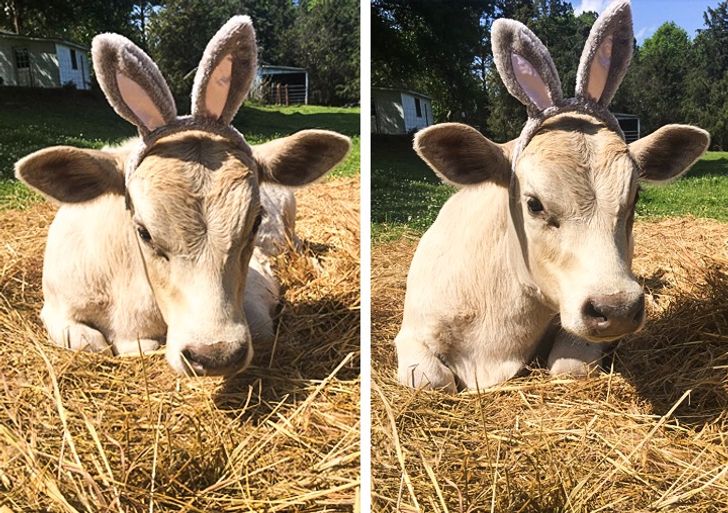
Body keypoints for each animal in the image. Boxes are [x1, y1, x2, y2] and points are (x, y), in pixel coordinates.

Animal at [14, 16, 350, 376]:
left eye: (255, 222)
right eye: (144, 232)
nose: (215, 355)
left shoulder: (259, 283)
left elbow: (260, 327)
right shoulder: (55, 307)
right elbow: (91, 342)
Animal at [396, 1, 708, 392]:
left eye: (635, 197)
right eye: (534, 204)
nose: (617, 309)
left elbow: (569, 366)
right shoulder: (412, 333)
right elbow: (432, 381)